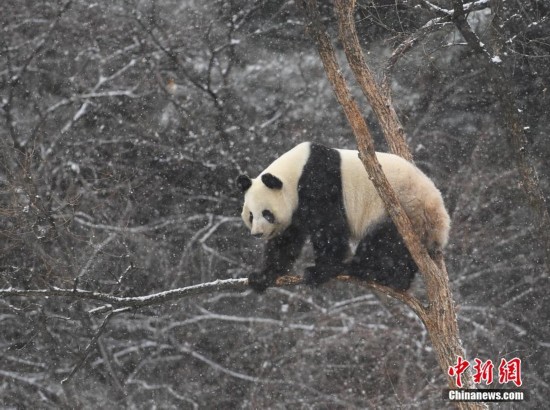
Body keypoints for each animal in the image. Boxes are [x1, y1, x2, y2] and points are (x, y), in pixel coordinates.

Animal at [236, 143, 448, 294]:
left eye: (267, 213)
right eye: (251, 215)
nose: (258, 234)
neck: (294, 172)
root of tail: (441, 223)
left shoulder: (319, 182)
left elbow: (329, 228)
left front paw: (320, 271)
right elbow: (286, 241)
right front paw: (262, 276)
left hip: (402, 213)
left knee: (384, 244)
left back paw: (363, 270)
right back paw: (398, 280)